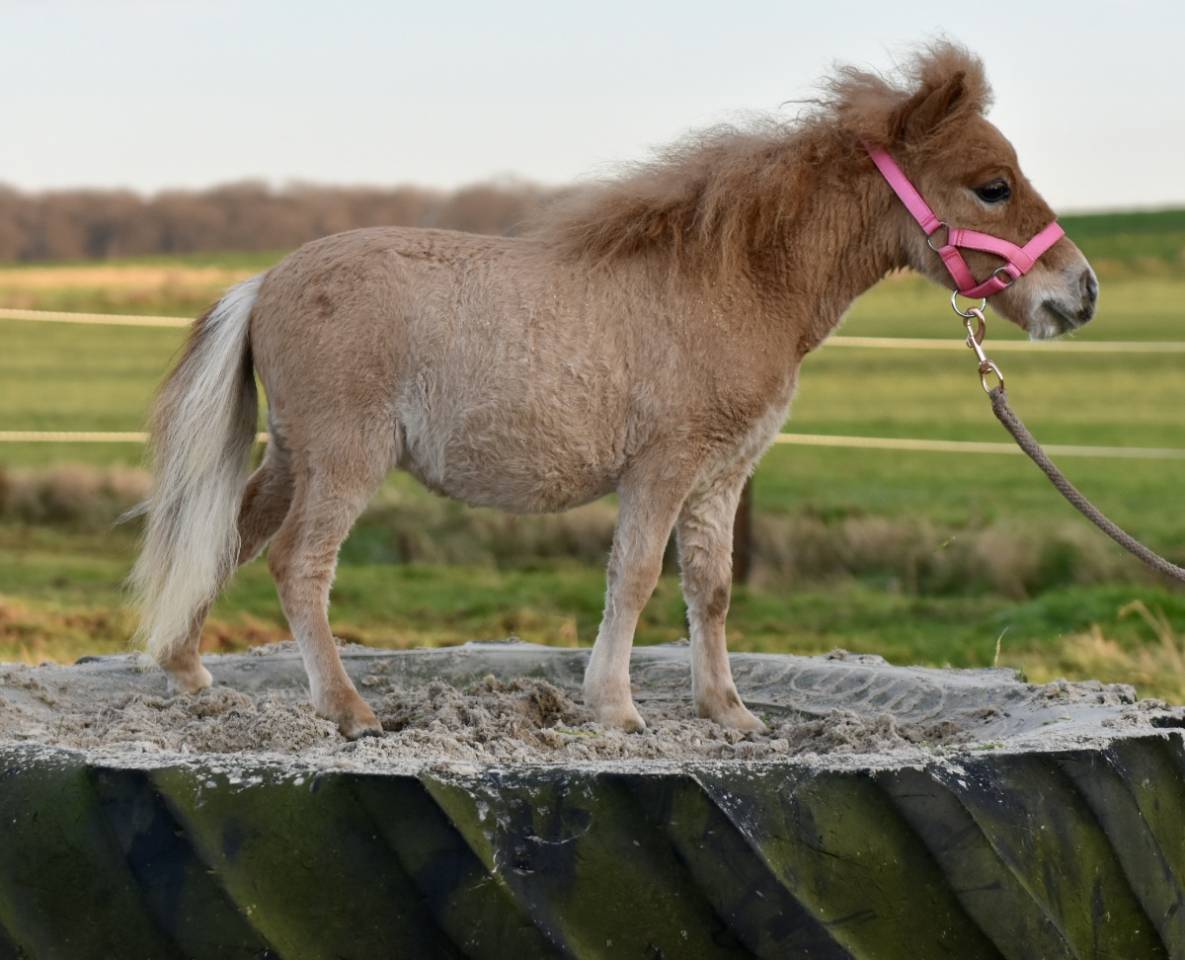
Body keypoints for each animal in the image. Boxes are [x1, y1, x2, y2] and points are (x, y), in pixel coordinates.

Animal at [130, 43, 1097, 738]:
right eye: (992, 187)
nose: (1079, 292)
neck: (735, 282)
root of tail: (264, 281)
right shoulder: (662, 468)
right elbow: (632, 577)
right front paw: (616, 707)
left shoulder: (720, 477)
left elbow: (710, 589)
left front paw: (728, 713)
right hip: (345, 459)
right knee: (298, 563)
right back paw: (348, 711)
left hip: (293, 458)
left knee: (228, 539)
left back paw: (189, 673)